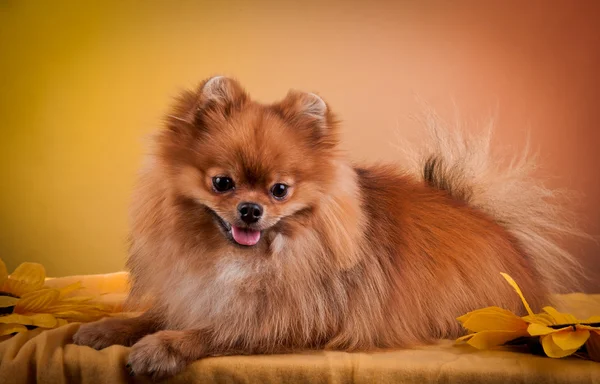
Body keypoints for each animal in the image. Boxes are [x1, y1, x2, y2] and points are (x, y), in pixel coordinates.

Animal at [72, 76, 584, 380]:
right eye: (222, 183)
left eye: (279, 190)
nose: (250, 210)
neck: (242, 260)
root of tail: (487, 217)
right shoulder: (198, 293)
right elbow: (152, 315)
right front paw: (103, 329)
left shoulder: (289, 319)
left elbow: (212, 331)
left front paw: (162, 347)